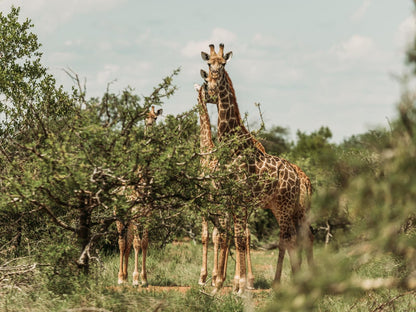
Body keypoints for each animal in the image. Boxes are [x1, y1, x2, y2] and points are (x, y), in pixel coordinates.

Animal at [117, 105, 164, 286]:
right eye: (145, 117)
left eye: (155, 117)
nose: (150, 125)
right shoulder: (137, 213)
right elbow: (137, 244)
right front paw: (136, 279)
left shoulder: (148, 214)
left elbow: (144, 243)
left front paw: (144, 278)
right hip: (119, 216)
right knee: (122, 243)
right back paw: (120, 278)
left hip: (128, 221)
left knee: (127, 244)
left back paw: (125, 276)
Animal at [202, 43, 308, 292]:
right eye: (209, 64)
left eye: (223, 64)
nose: (211, 86)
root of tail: (297, 176)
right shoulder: (228, 198)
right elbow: (230, 236)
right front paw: (222, 284)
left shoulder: (240, 198)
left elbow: (240, 238)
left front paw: (240, 285)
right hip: (280, 208)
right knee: (290, 239)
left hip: (285, 206)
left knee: (288, 239)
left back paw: (287, 282)